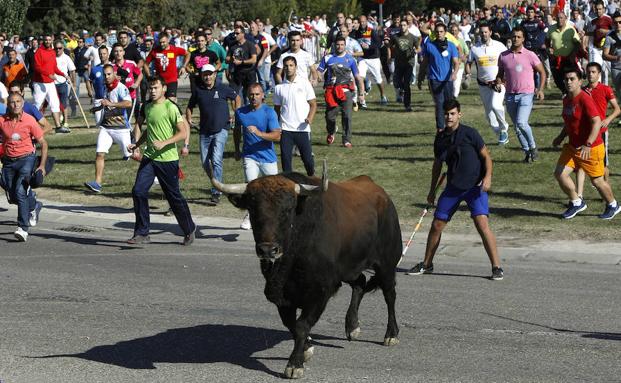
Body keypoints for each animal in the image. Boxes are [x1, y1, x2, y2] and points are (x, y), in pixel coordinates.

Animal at [211, 161, 400, 378]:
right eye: (252, 208)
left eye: (288, 209)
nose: (268, 250)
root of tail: (380, 193)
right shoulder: (281, 295)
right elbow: (291, 324)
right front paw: (307, 349)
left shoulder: (320, 292)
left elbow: (301, 325)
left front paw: (295, 364)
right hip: (348, 268)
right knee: (360, 283)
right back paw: (352, 326)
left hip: (386, 264)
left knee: (390, 295)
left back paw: (391, 334)